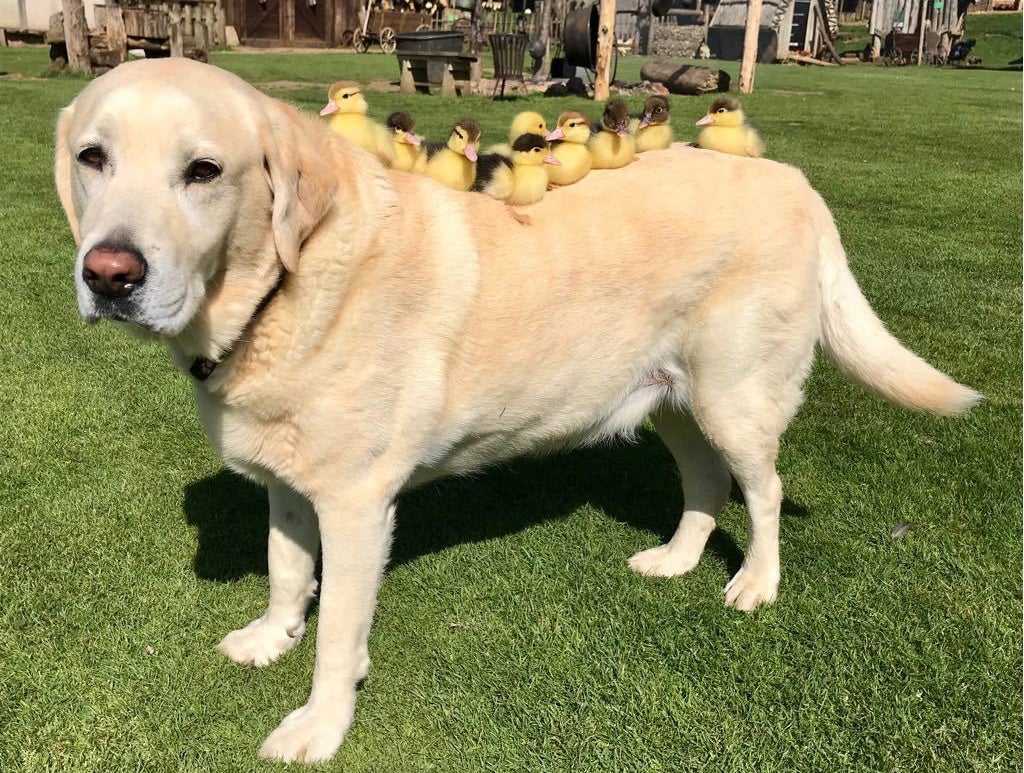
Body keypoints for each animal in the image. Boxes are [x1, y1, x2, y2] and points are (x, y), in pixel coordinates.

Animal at [54, 58, 974, 761]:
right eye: (93, 158)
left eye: (203, 172)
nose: (110, 274)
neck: (282, 286)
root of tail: (792, 178)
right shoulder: (288, 479)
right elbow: (286, 570)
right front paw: (272, 635)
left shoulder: (356, 504)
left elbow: (338, 633)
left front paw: (318, 724)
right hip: (672, 401)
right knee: (707, 484)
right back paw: (678, 559)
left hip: (734, 396)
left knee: (766, 489)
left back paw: (756, 583)